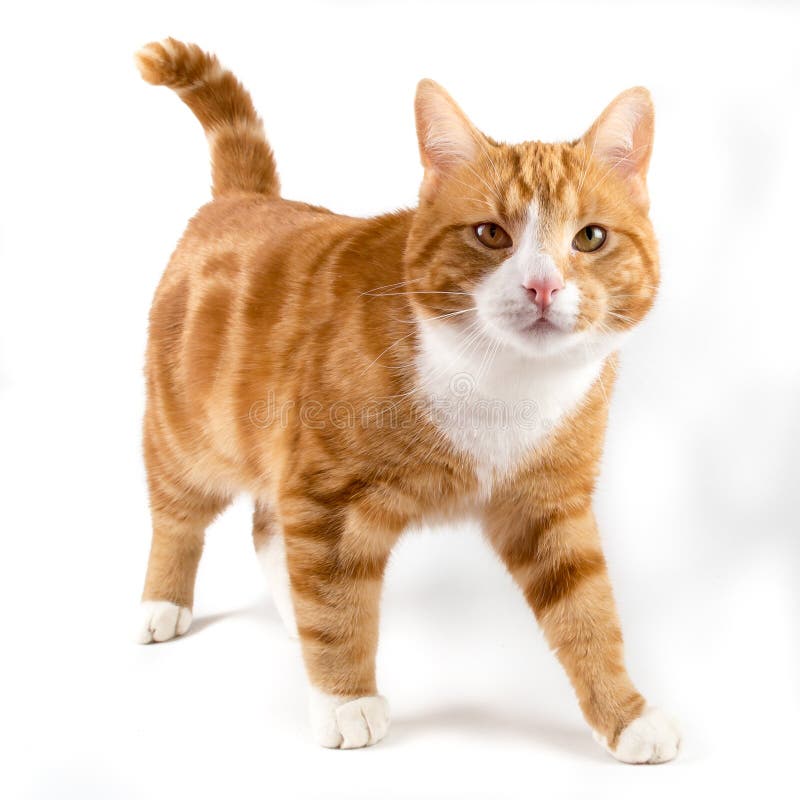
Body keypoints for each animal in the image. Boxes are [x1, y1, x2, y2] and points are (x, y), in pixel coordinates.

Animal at [134, 39, 680, 764]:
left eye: (589, 237)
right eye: (491, 235)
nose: (541, 287)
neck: (504, 385)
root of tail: (243, 196)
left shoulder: (551, 508)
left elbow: (589, 615)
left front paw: (626, 714)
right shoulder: (328, 498)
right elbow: (339, 609)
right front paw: (345, 701)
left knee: (267, 529)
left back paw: (290, 613)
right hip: (186, 436)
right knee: (180, 518)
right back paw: (162, 604)